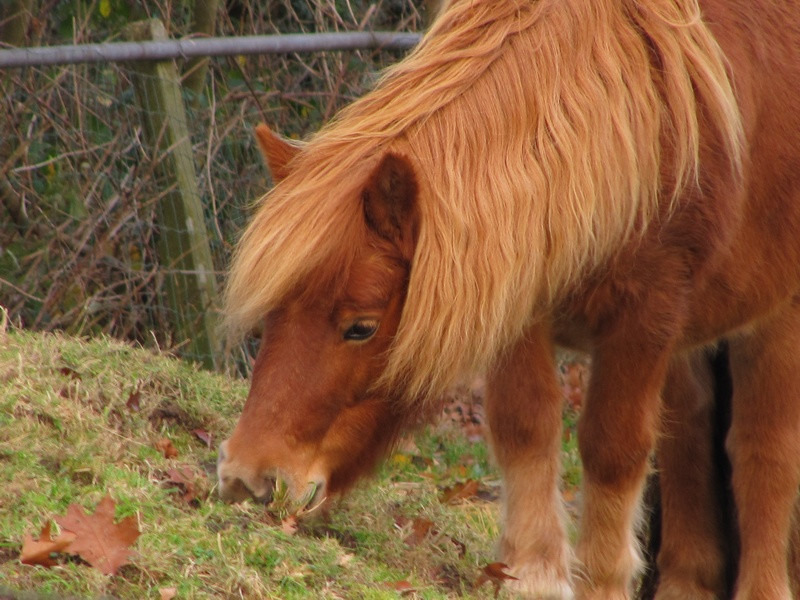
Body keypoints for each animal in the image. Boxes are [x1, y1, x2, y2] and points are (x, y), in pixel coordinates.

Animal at [216, 1, 800, 596]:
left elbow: (613, 448)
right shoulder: (516, 301)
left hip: (774, 324)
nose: (247, 477)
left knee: (763, 454)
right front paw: (532, 573)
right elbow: (526, 425)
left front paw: (600, 581)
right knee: (689, 443)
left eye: (361, 326)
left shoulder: (644, 318)